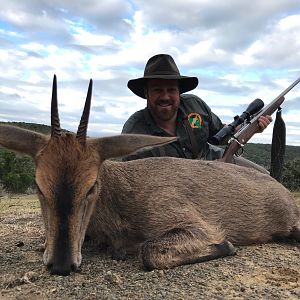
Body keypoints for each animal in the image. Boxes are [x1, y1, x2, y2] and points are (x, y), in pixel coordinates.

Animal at [0, 76, 298, 276]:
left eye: (91, 186)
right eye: (39, 186)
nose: (61, 265)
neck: (120, 199)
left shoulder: (196, 224)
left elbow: (149, 253)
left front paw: (227, 246)